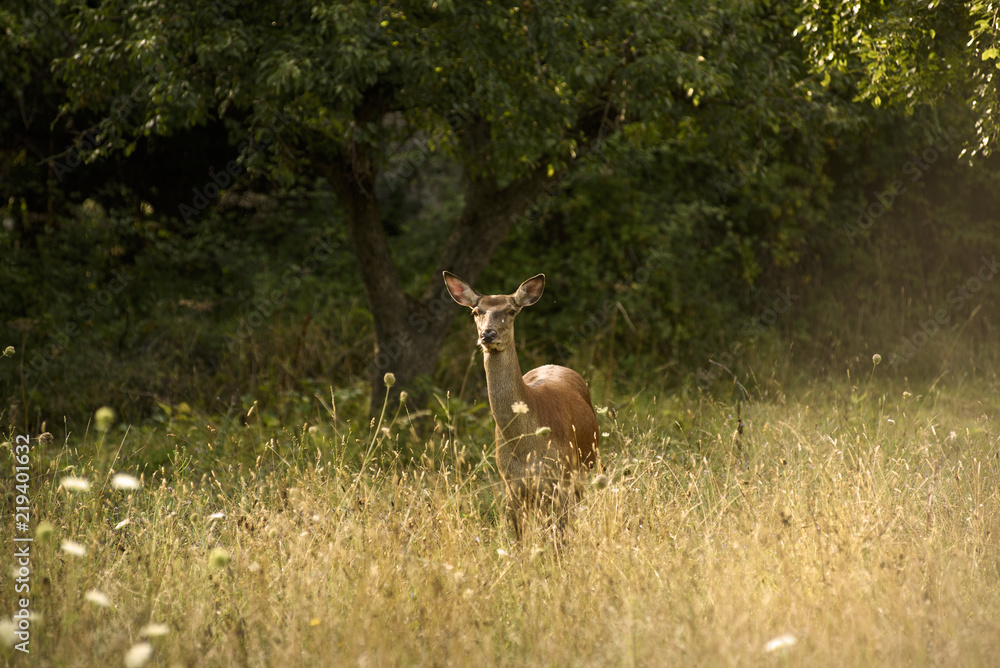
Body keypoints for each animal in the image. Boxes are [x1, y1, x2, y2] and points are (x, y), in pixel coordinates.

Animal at [443, 271, 600, 541]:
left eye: (511, 310)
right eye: (475, 311)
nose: (488, 335)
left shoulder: (561, 476)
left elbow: (560, 536)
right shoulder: (511, 483)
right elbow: (518, 538)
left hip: (588, 464)